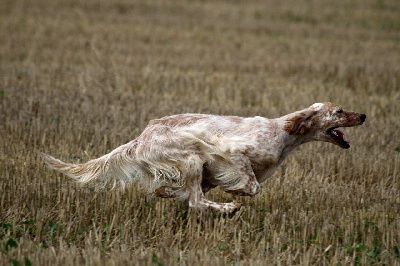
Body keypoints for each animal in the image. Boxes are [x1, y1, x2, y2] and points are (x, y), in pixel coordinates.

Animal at [41, 103, 366, 213]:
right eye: (338, 110)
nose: (362, 115)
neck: (283, 133)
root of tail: (141, 137)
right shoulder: (232, 152)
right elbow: (251, 185)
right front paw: (236, 193)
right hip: (191, 157)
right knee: (196, 201)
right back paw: (228, 209)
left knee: (184, 194)